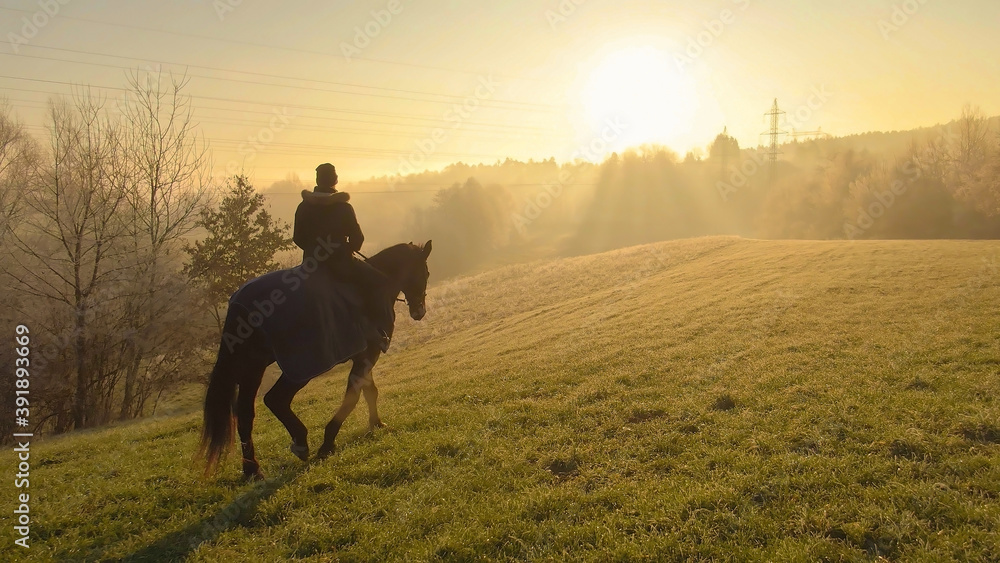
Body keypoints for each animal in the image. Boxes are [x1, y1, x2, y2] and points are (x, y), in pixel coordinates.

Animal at [198, 241, 430, 480]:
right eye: (426, 272)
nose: (419, 311)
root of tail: (240, 303)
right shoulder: (368, 354)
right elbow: (353, 396)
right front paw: (328, 443)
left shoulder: (365, 356)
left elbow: (369, 391)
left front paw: (376, 423)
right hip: (298, 369)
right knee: (275, 399)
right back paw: (300, 442)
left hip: (252, 368)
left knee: (245, 413)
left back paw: (252, 468)